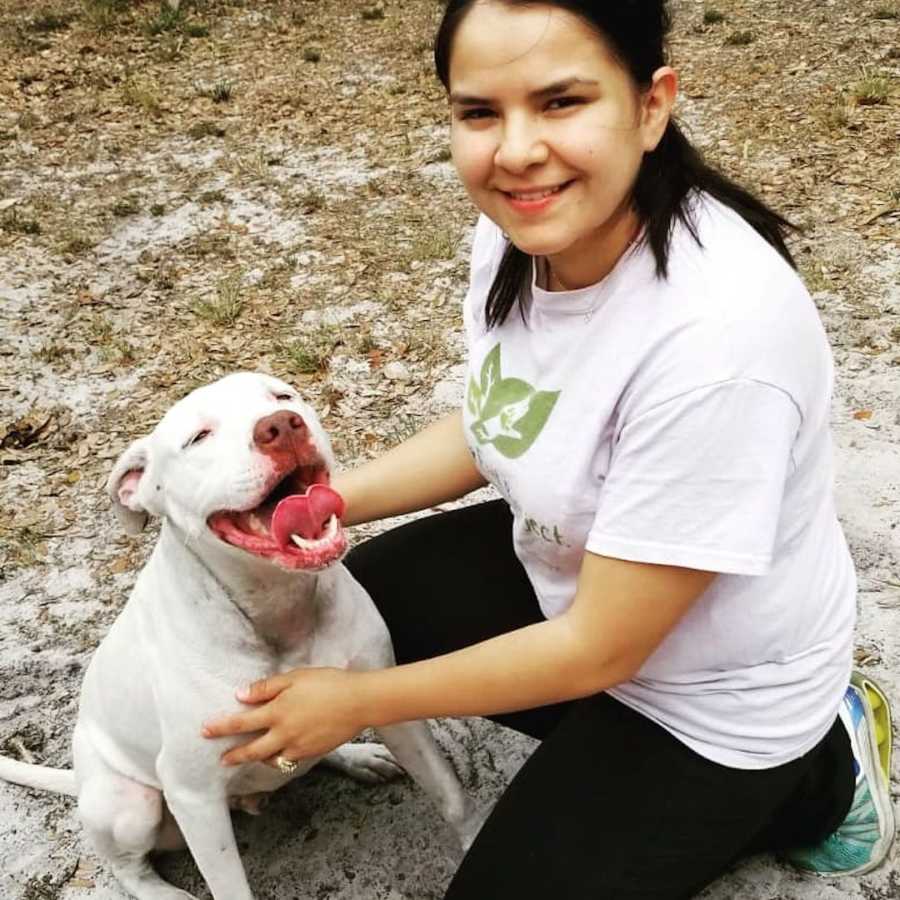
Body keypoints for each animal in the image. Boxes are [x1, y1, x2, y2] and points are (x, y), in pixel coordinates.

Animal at [0, 372, 478, 900]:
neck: (279, 607)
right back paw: (165, 893)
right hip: (129, 804)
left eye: (283, 397)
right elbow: (230, 887)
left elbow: (450, 794)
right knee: (128, 868)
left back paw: (358, 757)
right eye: (198, 438)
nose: (281, 426)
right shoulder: (194, 795)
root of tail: (80, 780)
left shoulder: (384, 703)